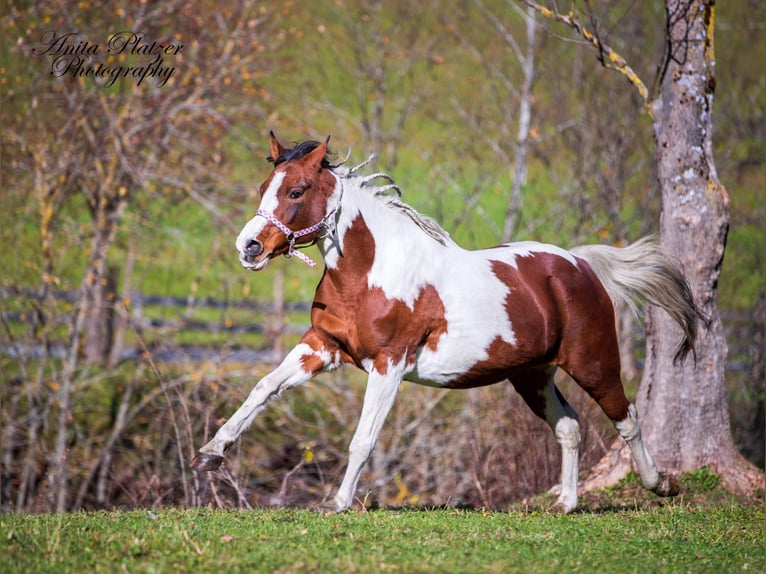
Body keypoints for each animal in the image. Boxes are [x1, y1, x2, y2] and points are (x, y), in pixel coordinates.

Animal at [189, 133, 700, 516]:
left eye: (295, 191)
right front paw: (211, 452)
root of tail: (579, 265)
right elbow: (263, 388)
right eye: (263, 186)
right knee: (571, 427)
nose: (248, 247)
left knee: (626, 417)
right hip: (531, 375)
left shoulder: (389, 363)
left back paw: (661, 484)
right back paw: (567, 504)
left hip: (593, 362)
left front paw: (338, 502)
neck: (371, 273)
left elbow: (362, 439)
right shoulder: (323, 346)